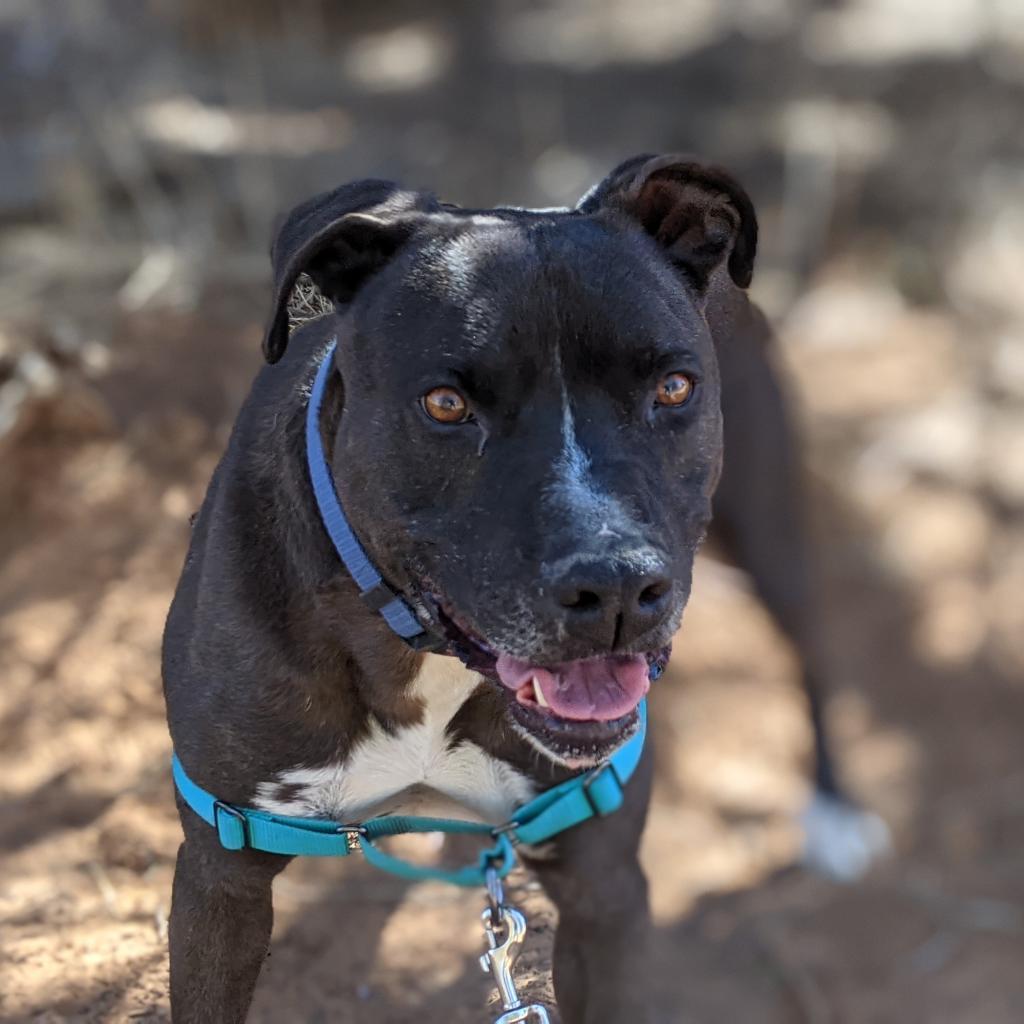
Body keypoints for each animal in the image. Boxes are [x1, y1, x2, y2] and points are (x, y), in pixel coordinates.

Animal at [163, 153, 884, 1024]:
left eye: (674, 389)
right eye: (446, 404)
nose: (615, 587)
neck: (420, 659)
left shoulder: (603, 888)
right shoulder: (221, 872)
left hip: (769, 521)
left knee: (811, 644)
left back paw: (835, 810)